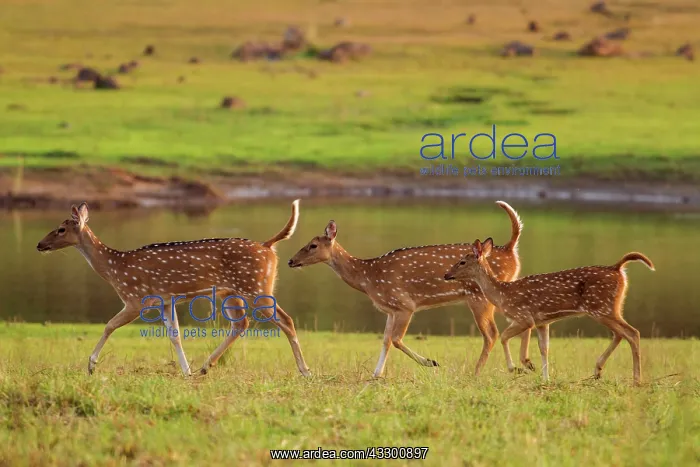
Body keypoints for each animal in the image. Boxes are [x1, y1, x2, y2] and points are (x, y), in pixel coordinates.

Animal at [36, 200, 311, 378]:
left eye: (61, 229)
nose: (39, 244)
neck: (115, 268)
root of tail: (268, 246)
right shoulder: (166, 301)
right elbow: (175, 334)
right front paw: (186, 371)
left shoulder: (135, 298)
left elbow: (109, 325)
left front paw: (91, 366)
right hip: (231, 292)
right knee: (240, 324)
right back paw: (203, 367)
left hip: (256, 287)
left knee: (285, 320)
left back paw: (305, 371)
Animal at [287, 201, 534, 378]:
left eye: (313, 245)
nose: (291, 261)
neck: (368, 277)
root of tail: (510, 249)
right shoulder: (390, 310)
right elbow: (385, 340)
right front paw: (376, 374)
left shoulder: (405, 304)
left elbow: (396, 339)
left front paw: (431, 362)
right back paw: (525, 363)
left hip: (480, 296)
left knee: (491, 334)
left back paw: (478, 372)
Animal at [443, 238, 654, 385]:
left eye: (462, 262)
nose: (446, 275)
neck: (502, 295)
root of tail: (618, 269)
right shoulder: (542, 322)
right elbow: (544, 348)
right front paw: (545, 378)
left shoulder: (524, 317)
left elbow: (503, 337)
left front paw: (517, 368)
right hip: (610, 308)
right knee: (620, 334)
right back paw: (598, 370)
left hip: (600, 307)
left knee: (632, 333)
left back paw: (636, 379)